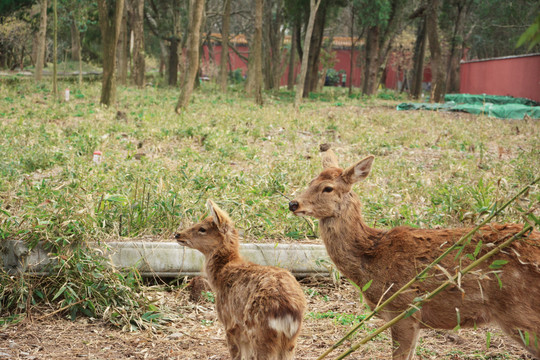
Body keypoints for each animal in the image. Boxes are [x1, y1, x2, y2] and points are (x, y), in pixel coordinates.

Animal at [175, 200, 306, 360]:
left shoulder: (229, 322)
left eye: (202, 229)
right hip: (290, 342)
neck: (220, 275)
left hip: (259, 332)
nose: (177, 234)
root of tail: (288, 310)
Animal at [288, 148, 540, 358]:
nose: (293, 203)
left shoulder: (404, 308)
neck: (371, 254)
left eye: (328, 188)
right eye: (310, 181)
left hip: (519, 311)